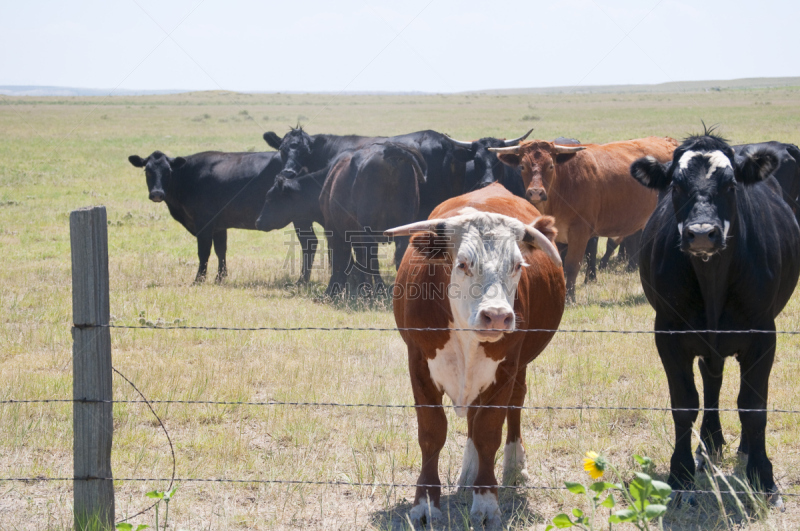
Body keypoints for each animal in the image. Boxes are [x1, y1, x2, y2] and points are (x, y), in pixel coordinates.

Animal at [126, 151, 314, 282]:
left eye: (168, 171)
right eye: (148, 171)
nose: (157, 193)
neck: (189, 176)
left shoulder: (204, 223)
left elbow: (204, 252)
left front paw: (199, 279)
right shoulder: (219, 226)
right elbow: (220, 250)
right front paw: (220, 277)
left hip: (301, 218)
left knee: (309, 244)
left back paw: (302, 280)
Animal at [386, 184, 564, 531]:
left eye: (517, 265)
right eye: (464, 264)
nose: (496, 317)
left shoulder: (505, 368)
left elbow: (488, 432)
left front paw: (486, 502)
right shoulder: (419, 364)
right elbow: (432, 432)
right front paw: (425, 504)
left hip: (519, 366)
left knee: (514, 407)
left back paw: (514, 466)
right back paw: (468, 472)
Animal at [490, 136, 680, 300]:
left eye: (550, 165)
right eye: (522, 166)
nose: (536, 192)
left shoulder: (579, 232)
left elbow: (572, 265)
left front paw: (569, 298)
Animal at [632, 133, 800, 508]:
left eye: (731, 185)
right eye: (676, 186)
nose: (701, 233)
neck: (712, 281)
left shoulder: (763, 334)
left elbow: (753, 406)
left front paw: (763, 477)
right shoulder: (667, 334)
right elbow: (684, 404)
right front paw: (680, 474)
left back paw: (742, 448)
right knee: (712, 380)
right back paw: (709, 443)